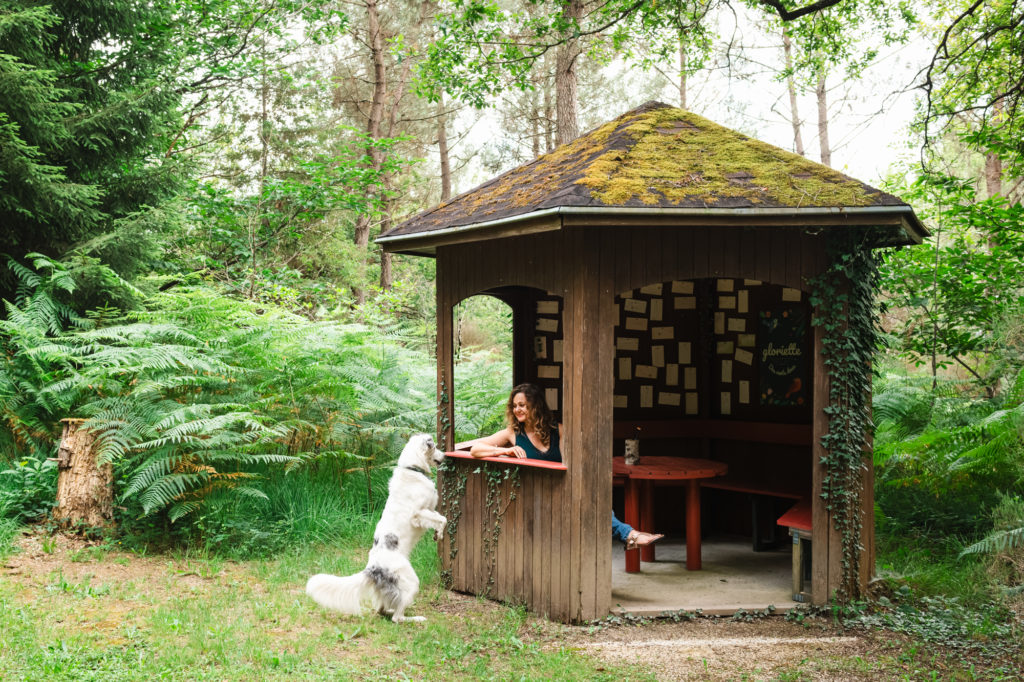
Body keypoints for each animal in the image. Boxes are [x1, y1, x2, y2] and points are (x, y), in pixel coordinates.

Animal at [305, 432, 446, 618]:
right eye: (435, 446)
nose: (445, 456)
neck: (412, 469)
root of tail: (372, 568)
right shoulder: (418, 514)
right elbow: (443, 519)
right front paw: (441, 534)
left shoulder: (429, 510)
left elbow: (439, 518)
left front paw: (437, 535)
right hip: (412, 582)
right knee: (397, 618)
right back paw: (416, 618)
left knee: (381, 610)